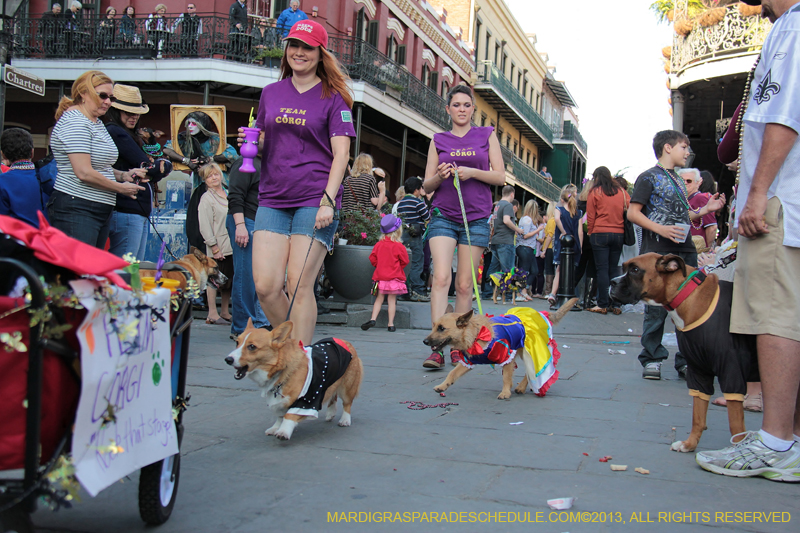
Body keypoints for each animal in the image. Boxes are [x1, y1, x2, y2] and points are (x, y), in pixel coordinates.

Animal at [225, 318, 362, 438]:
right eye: (237, 343)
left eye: (252, 346)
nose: (227, 359)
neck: (282, 370)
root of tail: (345, 342)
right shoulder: (279, 402)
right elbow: (280, 417)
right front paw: (276, 428)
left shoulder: (307, 400)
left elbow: (289, 416)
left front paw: (283, 432)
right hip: (332, 381)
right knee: (333, 396)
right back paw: (330, 413)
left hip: (347, 387)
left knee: (347, 403)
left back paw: (345, 420)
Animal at [422, 300, 580, 400]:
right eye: (434, 326)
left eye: (442, 328)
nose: (425, 342)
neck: (477, 333)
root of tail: (541, 313)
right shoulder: (467, 362)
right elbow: (452, 373)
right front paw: (443, 386)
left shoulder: (507, 357)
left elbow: (506, 377)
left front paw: (505, 393)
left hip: (530, 351)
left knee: (532, 370)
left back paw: (523, 386)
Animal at [608, 251, 760, 450]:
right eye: (625, 267)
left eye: (634, 270)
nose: (612, 282)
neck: (685, 293)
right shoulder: (699, 371)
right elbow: (698, 415)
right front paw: (689, 445)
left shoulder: (731, 372)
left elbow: (735, 424)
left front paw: (738, 449)